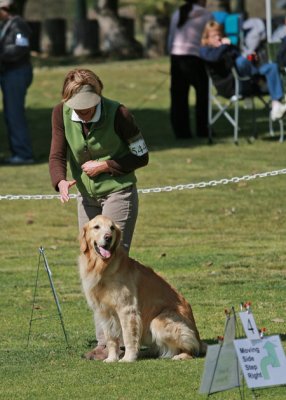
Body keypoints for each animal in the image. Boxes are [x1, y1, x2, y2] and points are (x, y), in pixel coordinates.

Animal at [79, 216, 207, 362]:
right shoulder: (104, 312)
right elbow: (110, 339)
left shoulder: (127, 309)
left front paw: (128, 358)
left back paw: (181, 355)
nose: (108, 237)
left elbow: (129, 337)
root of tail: (198, 337)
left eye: (112, 228)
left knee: (190, 348)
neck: (102, 266)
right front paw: (111, 359)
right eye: (96, 227)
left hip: (158, 321)